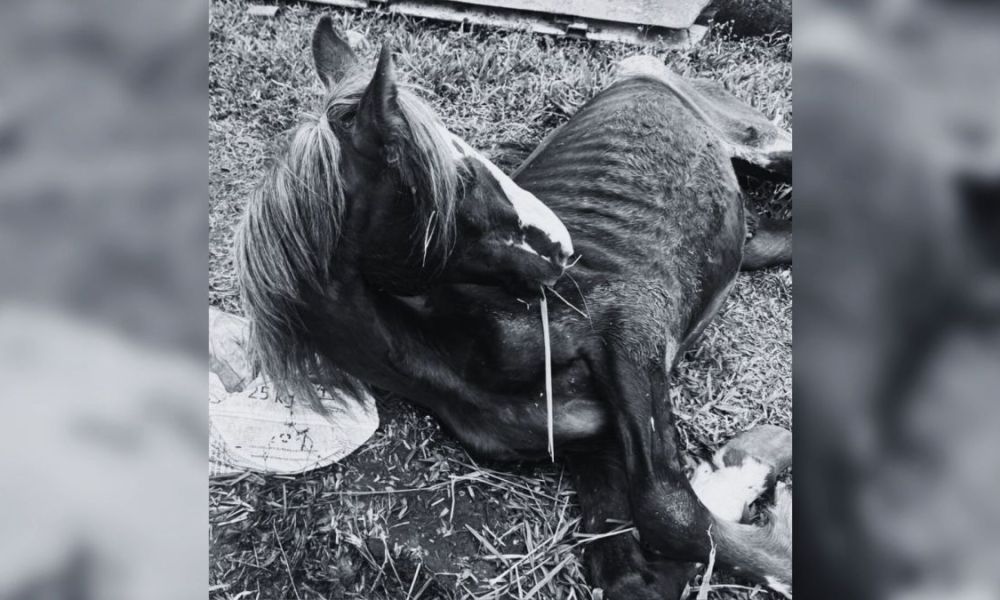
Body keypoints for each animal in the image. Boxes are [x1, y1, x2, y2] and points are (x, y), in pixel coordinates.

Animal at [236, 17, 792, 599]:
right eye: (457, 181)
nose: (564, 248)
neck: (460, 351)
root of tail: (643, 66)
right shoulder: (595, 443)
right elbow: (637, 568)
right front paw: (748, 466)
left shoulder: (632, 329)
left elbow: (670, 510)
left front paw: (760, 471)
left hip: (764, 146)